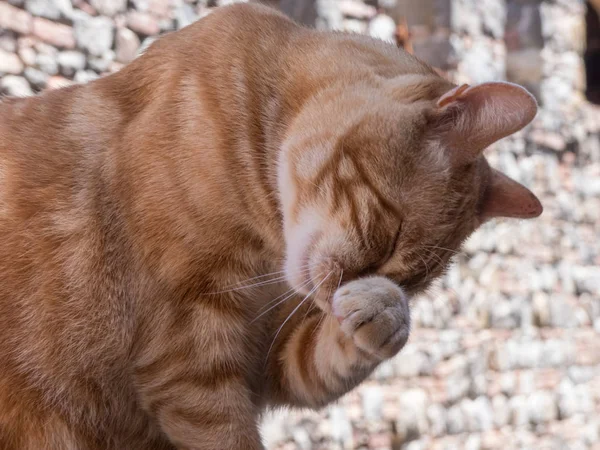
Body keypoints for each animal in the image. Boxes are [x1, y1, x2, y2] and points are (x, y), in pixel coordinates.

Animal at [0, 3, 544, 450]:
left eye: (408, 282)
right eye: (386, 236)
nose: (336, 296)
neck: (269, 243)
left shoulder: (268, 361)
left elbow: (321, 358)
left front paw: (383, 312)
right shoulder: (186, 357)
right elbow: (227, 434)